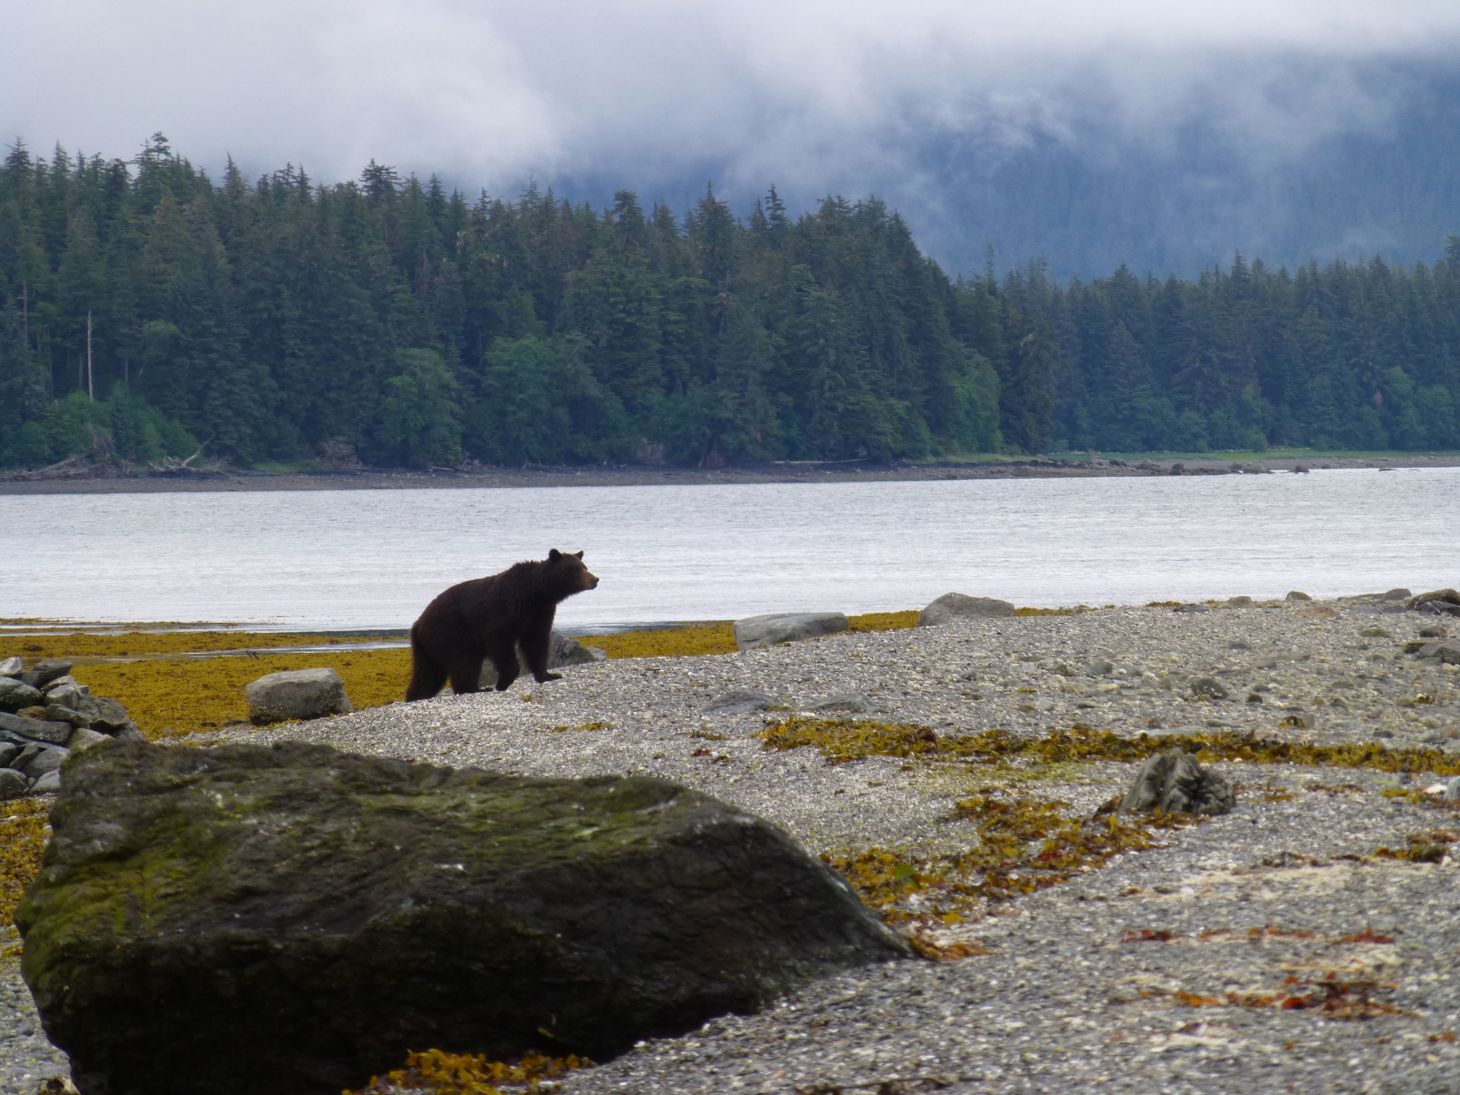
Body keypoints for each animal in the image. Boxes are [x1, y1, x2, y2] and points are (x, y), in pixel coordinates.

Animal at [405, 548, 600, 701]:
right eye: (574, 569)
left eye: (585, 567)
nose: (595, 579)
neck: (536, 593)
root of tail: (418, 623)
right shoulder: (507, 608)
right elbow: (500, 640)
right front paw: (503, 681)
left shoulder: (540, 613)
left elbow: (536, 642)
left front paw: (549, 675)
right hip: (450, 633)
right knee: (464, 663)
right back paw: (475, 689)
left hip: (428, 648)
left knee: (428, 675)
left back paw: (416, 696)